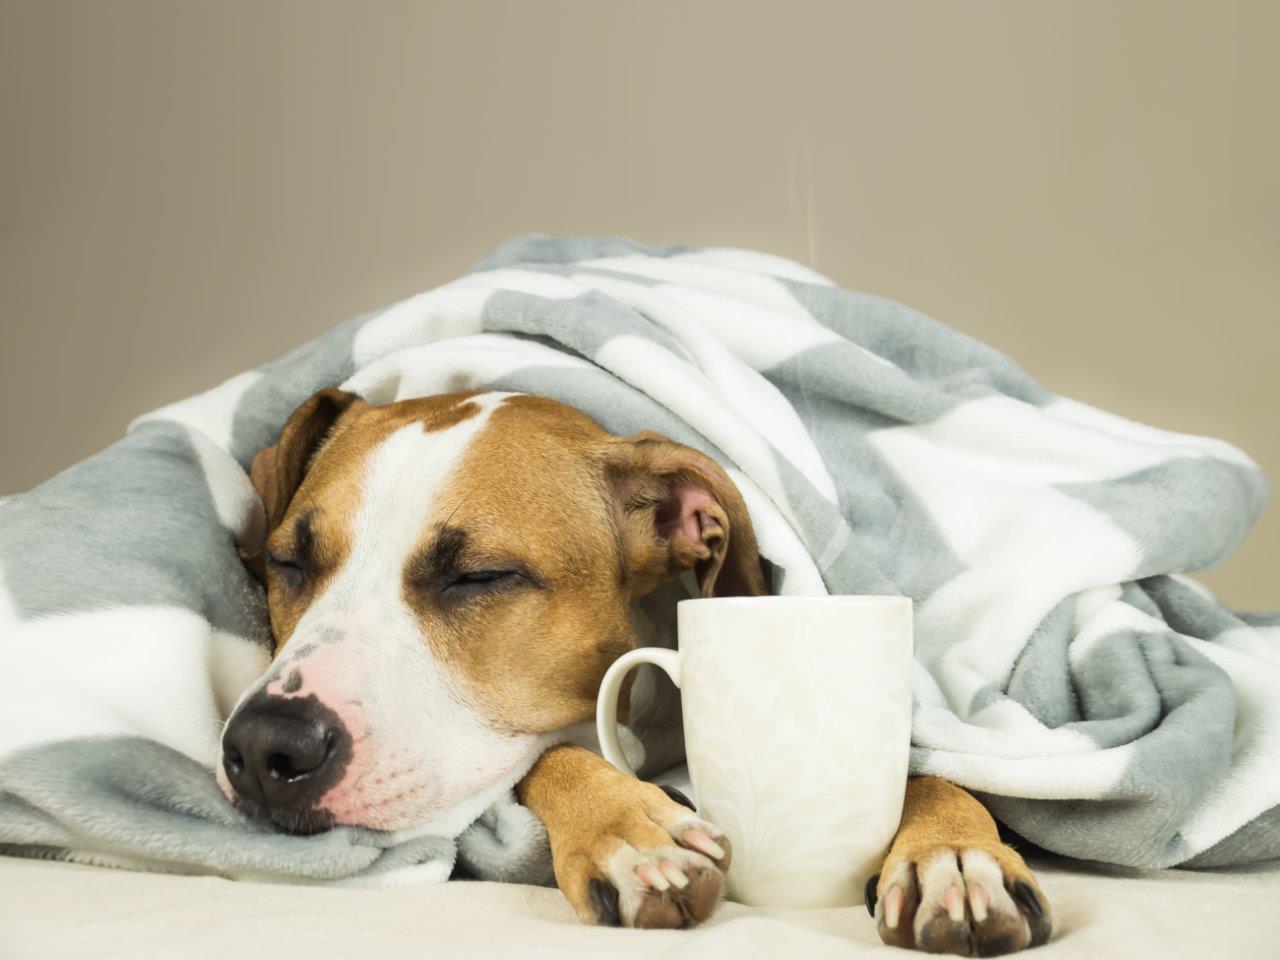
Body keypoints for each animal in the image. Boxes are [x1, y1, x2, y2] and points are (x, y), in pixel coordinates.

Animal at [220, 389, 1054, 957]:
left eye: (479, 577)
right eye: (287, 563)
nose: (264, 748)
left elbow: (928, 771)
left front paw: (953, 854)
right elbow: (553, 751)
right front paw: (627, 828)